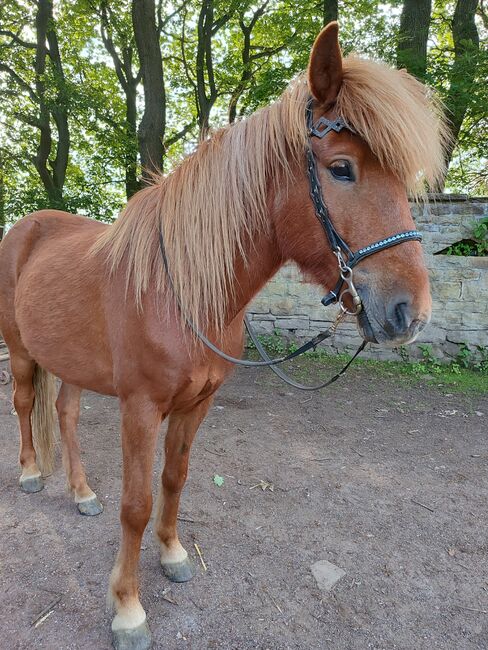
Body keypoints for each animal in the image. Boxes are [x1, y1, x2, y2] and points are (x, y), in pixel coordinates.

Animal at [0, 23, 446, 650]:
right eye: (341, 168)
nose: (411, 313)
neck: (182, 290)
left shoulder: (198, 404)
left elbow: (174, 479)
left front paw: (172, 555)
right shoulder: (141, 407)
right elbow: (136, 503)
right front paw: (128, 609)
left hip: (70, 361)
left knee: (64, 413)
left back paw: (82, 493)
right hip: (21, 352)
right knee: (23, 405)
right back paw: (32, 474)